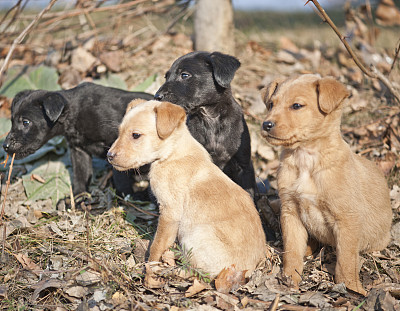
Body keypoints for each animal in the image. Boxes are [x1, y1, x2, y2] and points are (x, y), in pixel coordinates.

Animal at [3, 81, 153, 196]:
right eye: (12, 121)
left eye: (25, 122)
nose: (5, 146)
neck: (74, 115)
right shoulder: (79, 150)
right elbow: (80, 175)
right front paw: (79, 198)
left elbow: (120, 177)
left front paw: (129, 195)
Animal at [108, 100, 268, 278]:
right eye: (119, 132)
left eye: (135, 135)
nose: (109, 155)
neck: (171, 153)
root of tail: (246, 272)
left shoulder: (170, 213)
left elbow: (157, 245)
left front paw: (150, 267)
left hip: (195, 236)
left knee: (195, 272)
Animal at [155, 51, 255, 197]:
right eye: (166, 77)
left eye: (184, 75)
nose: (157, 96)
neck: (210, 118)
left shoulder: (243, 165)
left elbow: (249, 192)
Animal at [260, 75, 392, 294]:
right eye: (271, 104)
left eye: (297, 105)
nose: (266, 124)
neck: (306, 158)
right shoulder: (290, 211)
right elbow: (291, 250)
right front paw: (289, 279)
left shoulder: (347, 218)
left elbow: (345, 260)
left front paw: (351, 288)